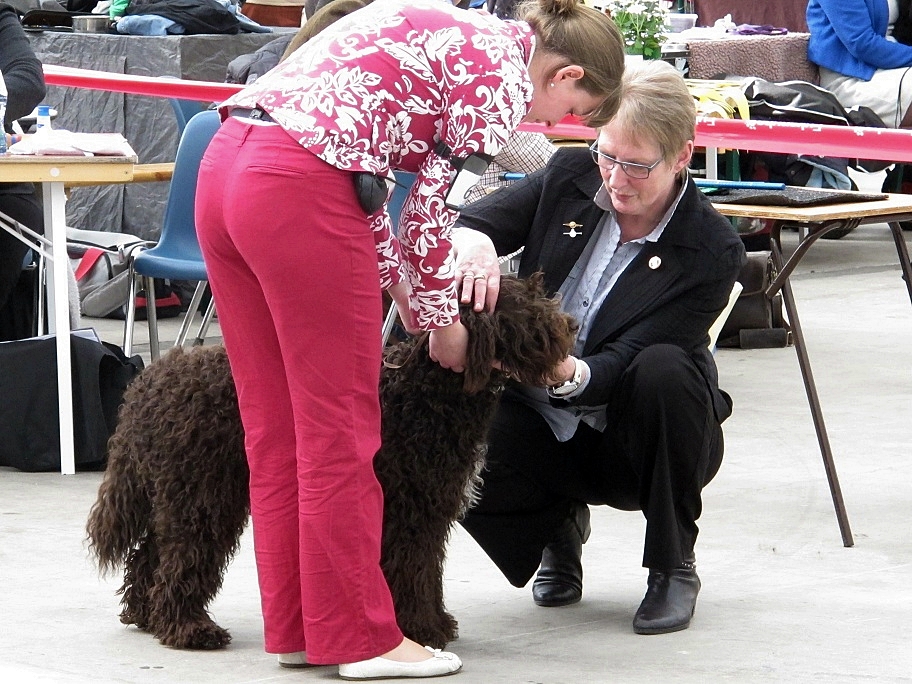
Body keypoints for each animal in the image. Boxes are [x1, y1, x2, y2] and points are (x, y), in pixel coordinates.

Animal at [86, 274, 577, 650]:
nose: (571, 322)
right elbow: (414, 570)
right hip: (205, 493)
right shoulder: (411, 512)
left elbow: (427, 570)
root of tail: (151, 381)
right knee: (182, 559)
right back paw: (188, 629)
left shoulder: (429, 511)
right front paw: (423, 628)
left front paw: (434, 622)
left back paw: (146, 615)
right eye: (525, 304)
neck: (426, 390)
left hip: (181, 491)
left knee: (151, 555)